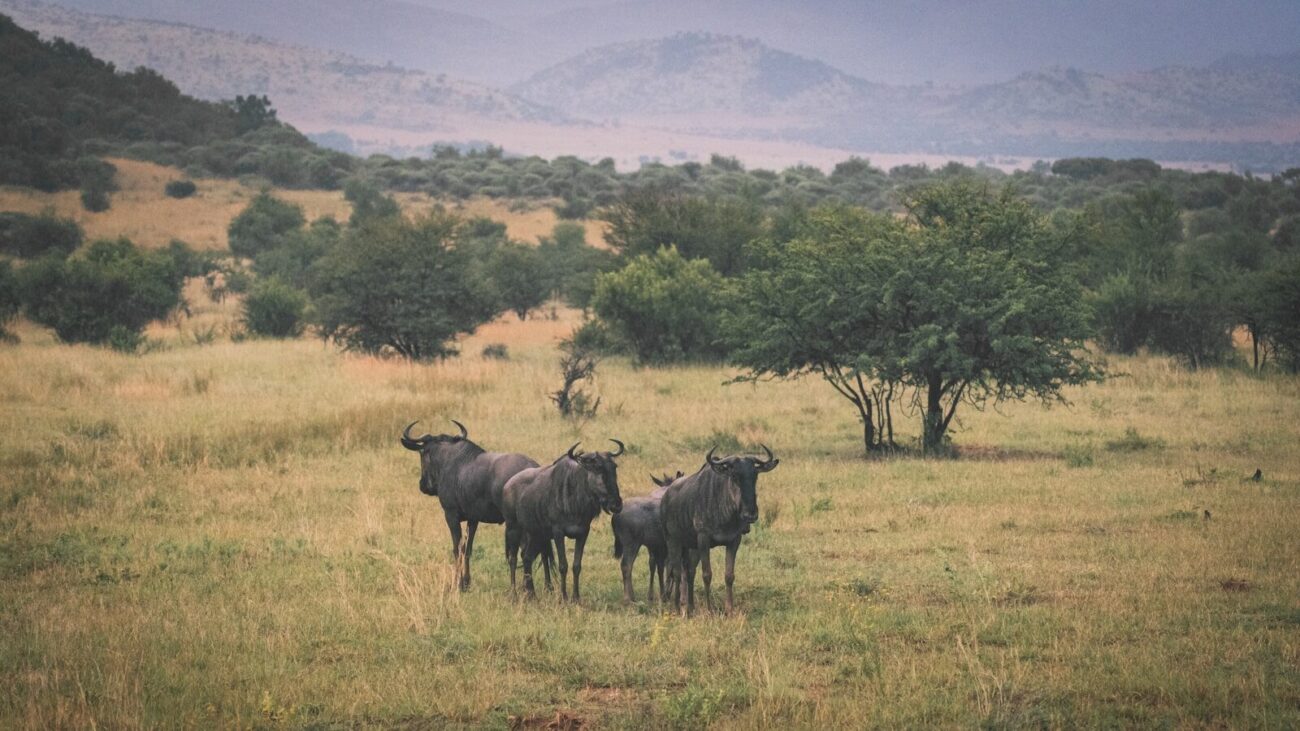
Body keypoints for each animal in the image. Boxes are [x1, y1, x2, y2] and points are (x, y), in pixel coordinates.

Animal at [399, 419, 538, 591]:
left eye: (421, 452)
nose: (423, 485)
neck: (448, 461)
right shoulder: (473, 519)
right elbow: (468, 549)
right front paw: (466, 582)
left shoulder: (451, 516)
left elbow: (457, 549)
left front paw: (457, 584)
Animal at [502, 440, 625, 602]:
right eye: (598, 468)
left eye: (614, 467)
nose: (616, 504)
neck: (575, 498)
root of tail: (507, 484)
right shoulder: (558, 533)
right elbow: (563, 565)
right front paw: (564, 598)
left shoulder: (583, 533)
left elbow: (576, 565)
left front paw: (576, 597)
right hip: (513, 529)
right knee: (513, 559)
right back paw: (514, 593)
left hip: (536, 534)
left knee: (527, 557)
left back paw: (531, 594)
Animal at [611, 471, 683, 605]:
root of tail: (615, 517)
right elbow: (669, 569)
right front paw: (666, 595)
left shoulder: (657, 546)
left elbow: (660, 567)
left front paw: (661, 595)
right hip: (631, 544)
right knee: (626, 565)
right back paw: (627, 598)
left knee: (630, 566)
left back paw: (633, 596)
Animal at [660, 445, 779, 616]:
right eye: (734, 475)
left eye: (755, 475)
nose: (750, 514)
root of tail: (666, 496)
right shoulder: (704, 539)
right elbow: (707, 574)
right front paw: (710, 610)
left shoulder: (734, 540)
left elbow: (729, 575)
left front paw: (730, 610)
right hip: (673, 541)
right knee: (675, 571)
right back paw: (677, 607)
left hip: (691, 546)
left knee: (688, 572)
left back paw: (690, 608)